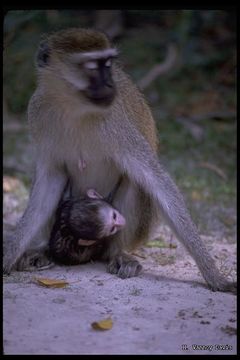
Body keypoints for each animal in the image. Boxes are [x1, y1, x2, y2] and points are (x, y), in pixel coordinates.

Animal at [3, 28, 236, 292]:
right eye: (92, 67)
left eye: (108, 64)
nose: (109, 83)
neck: (74, 107)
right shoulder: (38, 114)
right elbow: (48, 183)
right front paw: (9, 257)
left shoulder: (117, 125)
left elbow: (157, 182)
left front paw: (216, 278)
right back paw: (44, 249)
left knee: (136, 182)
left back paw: (119, 253)